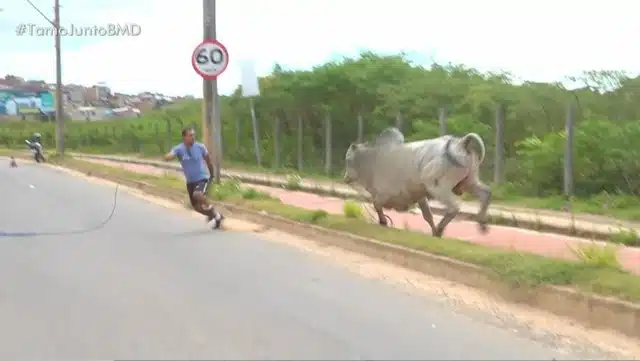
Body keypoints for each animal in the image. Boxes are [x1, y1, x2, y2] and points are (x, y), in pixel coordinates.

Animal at [344, 126, 490, 236]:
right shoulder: (420, 196)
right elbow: (427, 216)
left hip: (436, 186)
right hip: (470, 182)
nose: (345, 178)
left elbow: (376, 205)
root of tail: (461, 142)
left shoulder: (384, 194)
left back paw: (440, 230)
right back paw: (482, 224)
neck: (373, 161)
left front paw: (383, 222)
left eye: (348, 159)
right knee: (486, 193)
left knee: (454, 207)